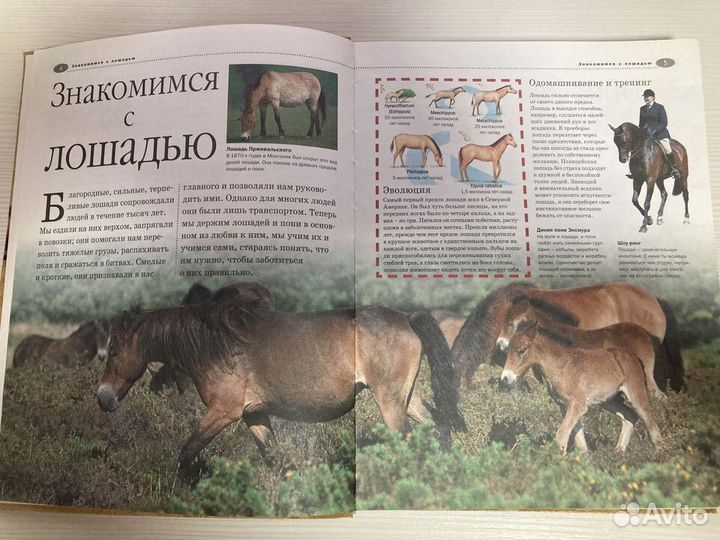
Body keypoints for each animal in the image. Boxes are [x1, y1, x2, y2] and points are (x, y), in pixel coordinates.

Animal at [97, 297, 466, 478]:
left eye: (114, 351)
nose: (103, 398)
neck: (218, 345)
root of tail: (406, 317)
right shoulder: (254, 415)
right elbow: (276, 460)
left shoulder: (222, 413)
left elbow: (187, 453)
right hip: (407, 397)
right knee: (438, 428)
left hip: (389, 401)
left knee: (410, 439)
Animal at [501, 320, 663, 454]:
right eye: (507, 351)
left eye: (521, 351)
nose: (505, 378)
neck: (563, 367)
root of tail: (634, 356)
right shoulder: (565, 406)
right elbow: (578, 439)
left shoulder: (578, 406)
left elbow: (562, 434)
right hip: (609, 401)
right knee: (630, 417)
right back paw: (618, 453)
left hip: (636, 395)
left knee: (651, 424)